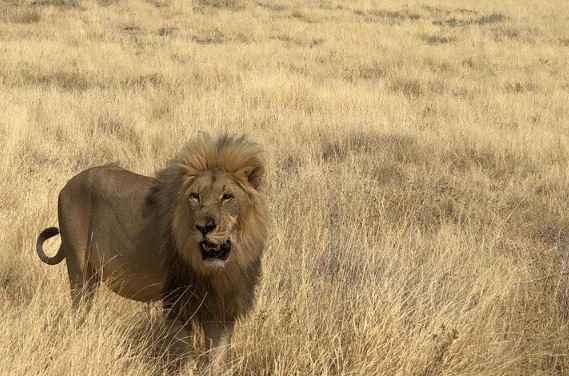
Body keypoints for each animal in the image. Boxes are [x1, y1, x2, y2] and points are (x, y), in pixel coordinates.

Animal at [35, 133, 268, 374]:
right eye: (195, 196)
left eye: (227, 197)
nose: (204, 227)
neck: (217, 272)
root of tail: (68, 184)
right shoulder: (177, 302)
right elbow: (184, 358)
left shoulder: (223, 310)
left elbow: (216, 361)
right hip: (79, 271)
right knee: (78, 311)